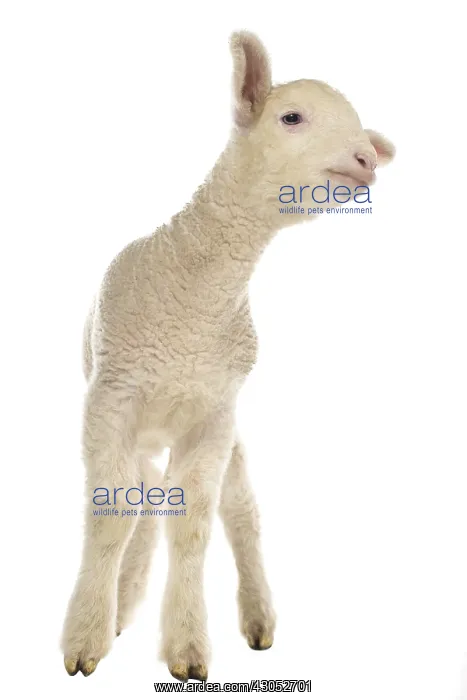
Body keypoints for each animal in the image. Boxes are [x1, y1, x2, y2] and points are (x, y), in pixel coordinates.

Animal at [61, 30, 395, 682]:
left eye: (361, 133)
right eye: (291, 117)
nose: (367, 159)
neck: (195, 295)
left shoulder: (213, 411)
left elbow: (194, 525)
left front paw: (188, 649)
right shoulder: (112, 396)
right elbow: (112, 514)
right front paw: (86, 638)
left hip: (226, 428)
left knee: (239, 513)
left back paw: (256, 616)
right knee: (146, 501)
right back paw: (123, 603)